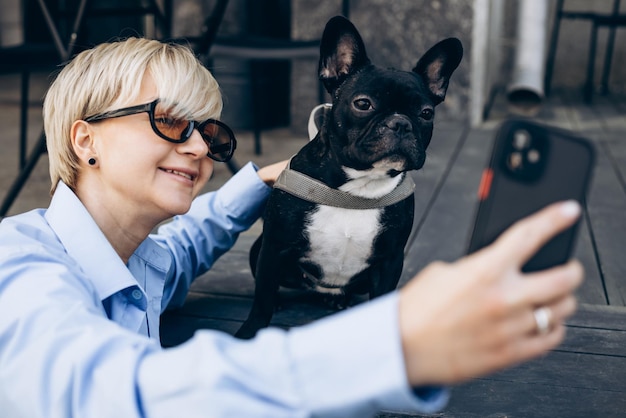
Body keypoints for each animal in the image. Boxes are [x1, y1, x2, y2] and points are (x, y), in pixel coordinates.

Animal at [236, 15, 460, 340]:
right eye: (363, 104)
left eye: (427, 113)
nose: (400, 123)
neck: (357, 188)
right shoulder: (274, 247)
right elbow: (262, 296)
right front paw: (250, 332)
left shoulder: (390, 260)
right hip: (259, 249)